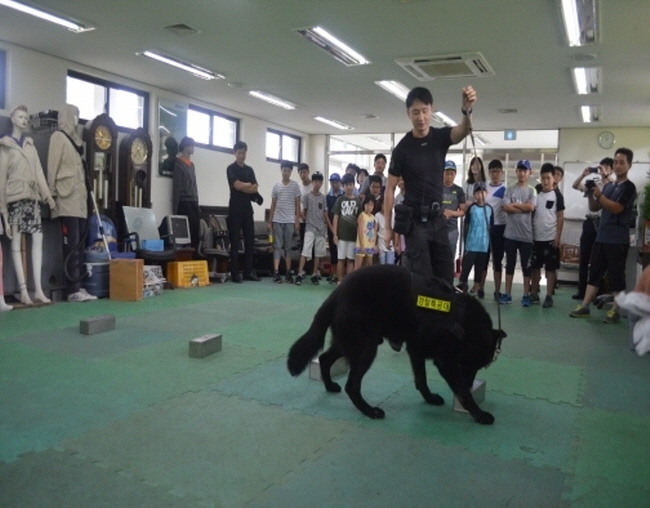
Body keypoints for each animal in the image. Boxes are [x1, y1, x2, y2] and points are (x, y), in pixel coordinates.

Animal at [286, 266, 504, 424]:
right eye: (473, 365)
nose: (471, 383)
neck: (464, 323)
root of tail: (337, 292)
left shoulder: (416, 350)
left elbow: (421, 379)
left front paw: (429, 398)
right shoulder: (446, 362)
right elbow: (462, 391)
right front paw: (479, 413)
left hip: (351, 342)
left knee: (324, 358)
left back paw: (330, 386)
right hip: (366, 348)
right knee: (352, 385)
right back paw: (370, 410)